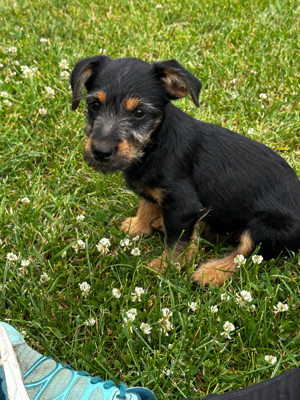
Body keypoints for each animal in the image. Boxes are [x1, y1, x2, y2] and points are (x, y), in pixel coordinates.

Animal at [71, 56, 300, 286]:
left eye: (139, 113)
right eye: (94, 105)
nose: (101, 152)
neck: (155, 144)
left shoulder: (183, 206)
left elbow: (176, 244)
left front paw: (165, 267)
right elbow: (147, 204)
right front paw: (138, 225)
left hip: (266, 227)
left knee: (245, 255)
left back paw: (212, 272)